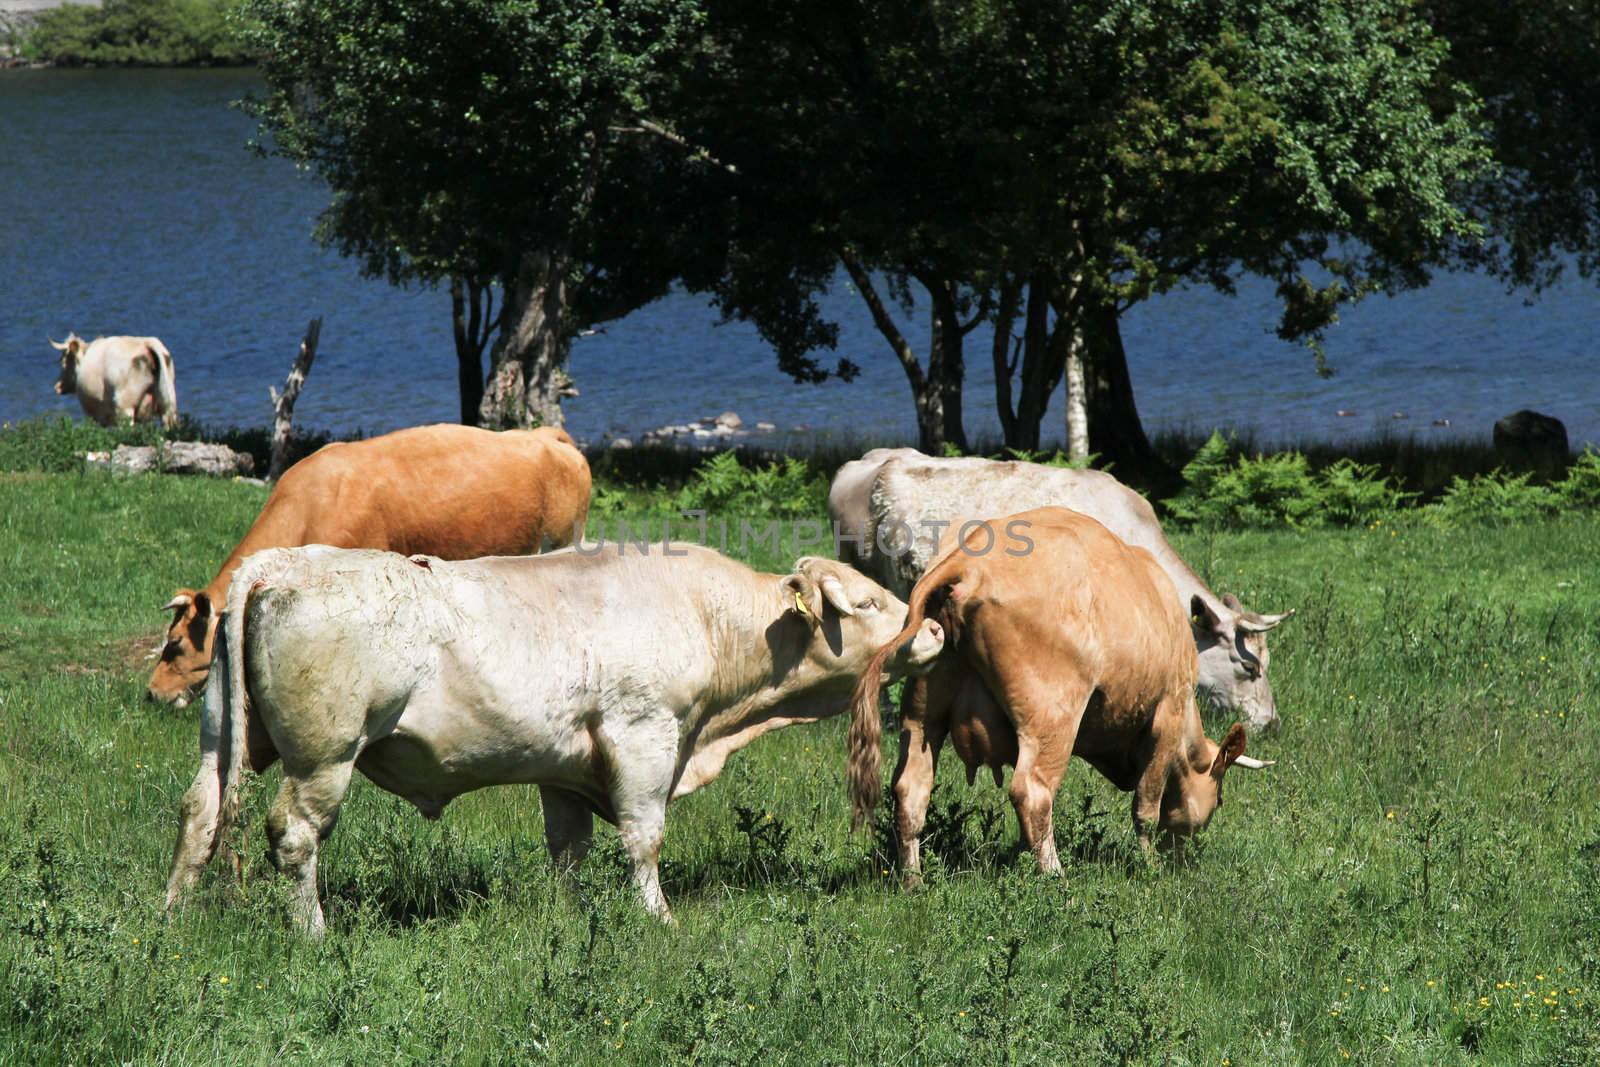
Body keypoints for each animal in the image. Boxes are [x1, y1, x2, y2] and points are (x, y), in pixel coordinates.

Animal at [164, 543, 940, 934]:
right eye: (867, 601)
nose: (931, 626)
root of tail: (282, 562)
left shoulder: (565, 767)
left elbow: (569, 849)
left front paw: (569, 916)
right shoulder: (644, 736)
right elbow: (643, 838)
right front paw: (658, 918)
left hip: (222, 738)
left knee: (200, 814)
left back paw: (172, 917)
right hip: (324, 755)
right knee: (295, 834)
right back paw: (313, 930)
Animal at [844, 505, 1267, 883]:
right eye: (1219, 797)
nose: (1183, 855)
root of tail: (967, 563)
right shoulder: (1168, 711)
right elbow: (1146, 806)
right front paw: (1149, 866)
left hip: (923, 713)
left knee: (910, 789)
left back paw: (912, 879)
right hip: (1052, 718)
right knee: (1032, 793)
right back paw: (1055, 876)